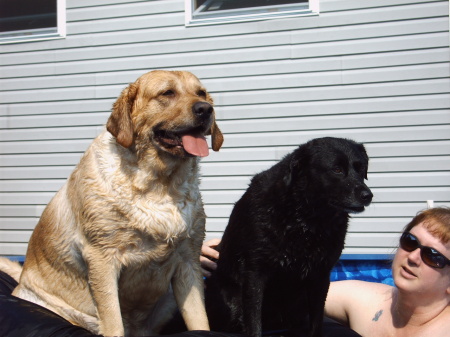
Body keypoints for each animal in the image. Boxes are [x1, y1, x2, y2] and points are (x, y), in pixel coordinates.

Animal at [0, 69, 223, 334]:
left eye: (201, 93)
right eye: (167, 93)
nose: (206, 109)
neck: (160, 185)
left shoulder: (189, 261)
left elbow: (199, 321)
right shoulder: (102, 259)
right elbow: (113, 322)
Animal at [205, 136, 372, 336]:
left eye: (361, 169)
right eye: (337, 169)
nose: (368, 195)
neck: (306, 220)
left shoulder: (321, 275)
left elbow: (316, 323)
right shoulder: (254, 273)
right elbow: (254, 324)